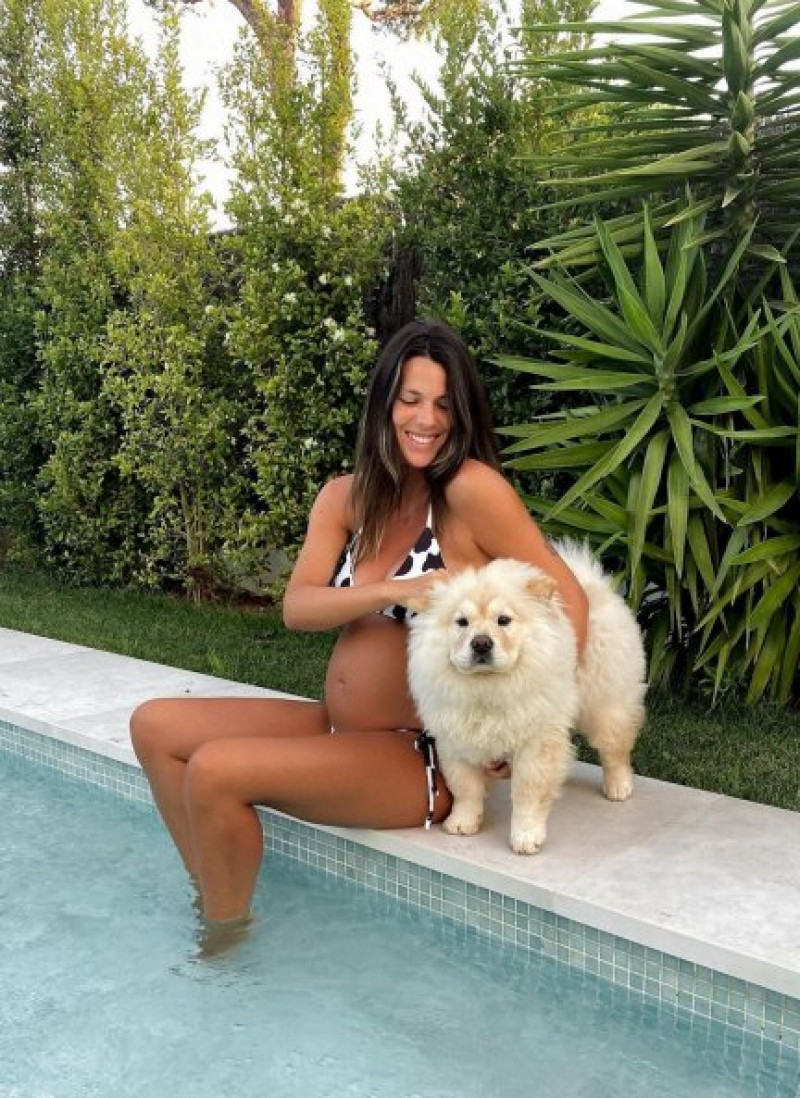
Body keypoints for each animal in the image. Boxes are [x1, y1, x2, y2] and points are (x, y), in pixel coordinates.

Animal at [408, 544, 645, 852]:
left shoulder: (535, 744)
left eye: (503, 621)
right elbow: (465, 788)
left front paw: (525, 838)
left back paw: (618, 787)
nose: (481, 643)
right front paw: (462, 824)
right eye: (461, 622)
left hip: (605, 703)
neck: (487, 687)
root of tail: (597, 586)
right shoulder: (454, 741)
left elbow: (527, 795)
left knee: (615, 748)